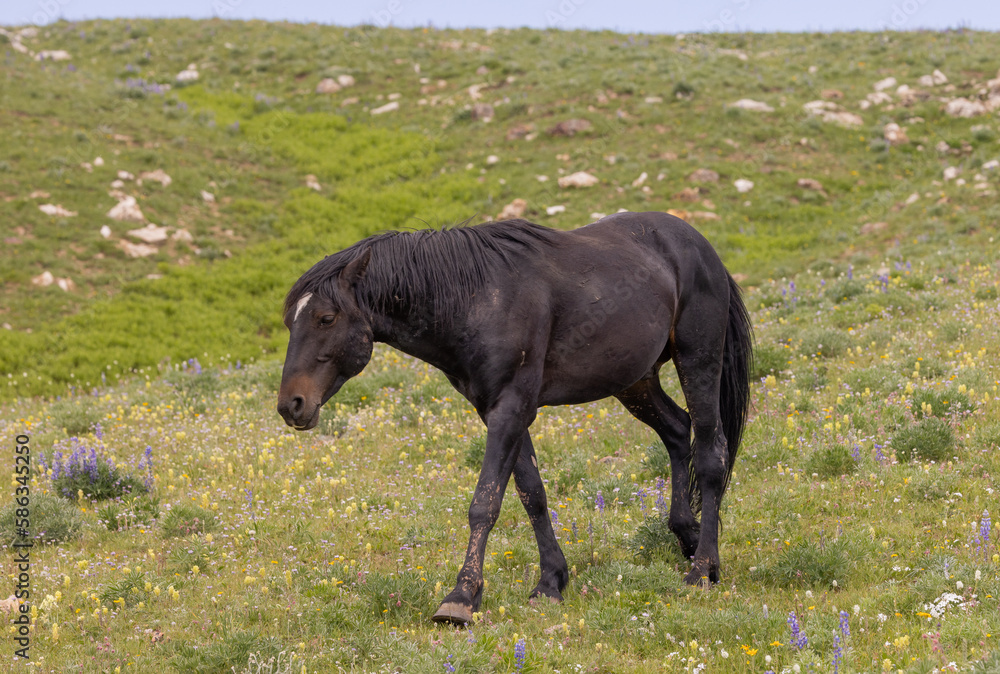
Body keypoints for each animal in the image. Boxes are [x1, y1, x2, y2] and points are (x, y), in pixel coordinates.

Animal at [277, 211, 753, 625]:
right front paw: (551, 581)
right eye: (290, 321)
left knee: (711, 455)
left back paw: (702, 568)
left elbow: (484, 504)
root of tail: (699, 246)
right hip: (636, 381)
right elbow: (532, 495)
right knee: (677, 431)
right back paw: (687, 535)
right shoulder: (499, 411)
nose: (291, 405)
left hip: (697, 360)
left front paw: (462, 596)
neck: (475, 300)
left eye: (326, 317)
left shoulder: (511, 407)